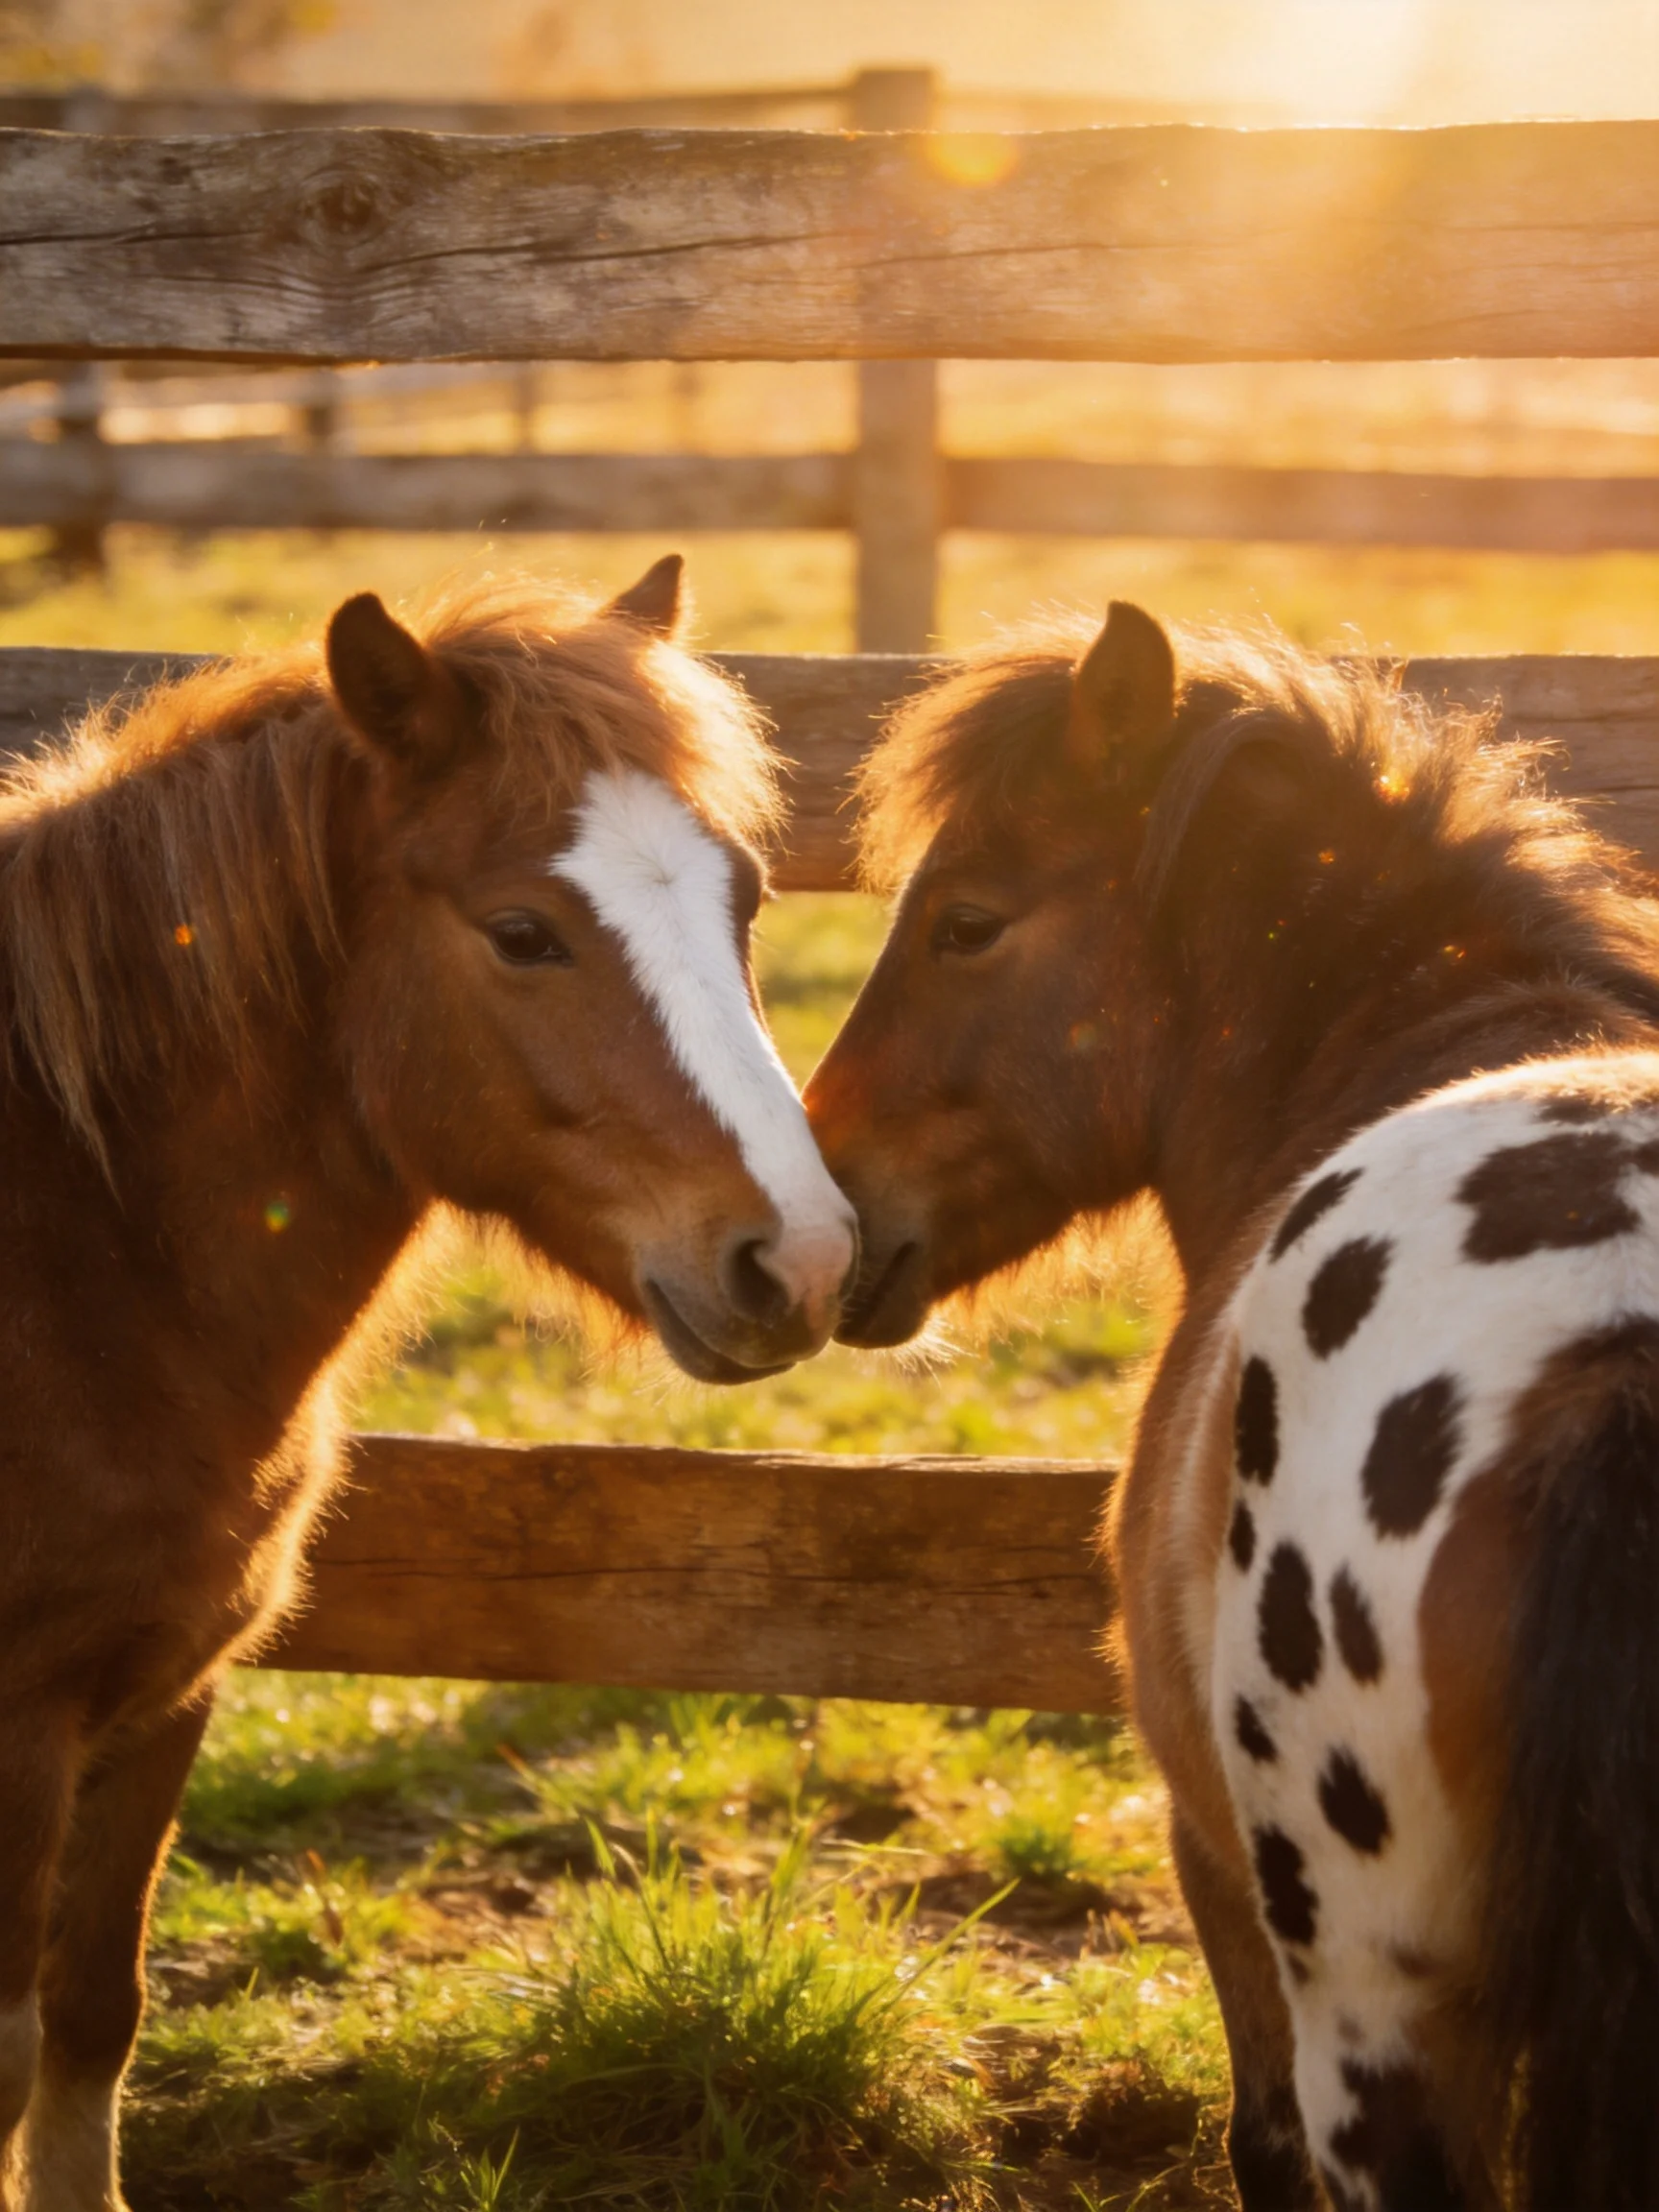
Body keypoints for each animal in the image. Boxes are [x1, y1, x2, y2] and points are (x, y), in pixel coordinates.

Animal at [0, 554, 855, 2211]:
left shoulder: (162, 1695)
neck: (79, 1250)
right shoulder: (20, 1726)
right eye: (522, 931)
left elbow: (88, 2019)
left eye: (745, 898)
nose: (802, 1262)